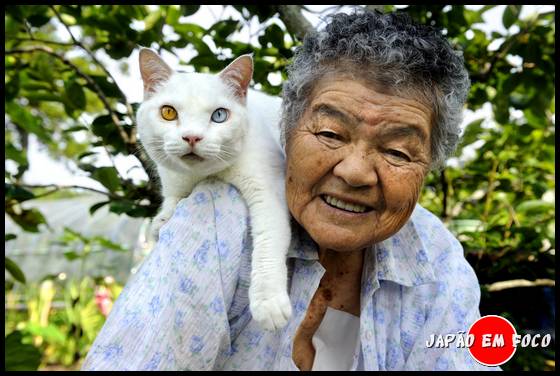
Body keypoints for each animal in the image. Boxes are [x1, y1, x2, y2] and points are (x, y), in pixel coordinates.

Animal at [136, 47, 294, 332]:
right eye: (168, 113)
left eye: (219, 115)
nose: (192, 137)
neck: (202, 175)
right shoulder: (173, 180)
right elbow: (172, 198)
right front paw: (162, 219)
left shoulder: (268, 189)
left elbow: (268, 240)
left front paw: (268, 303)